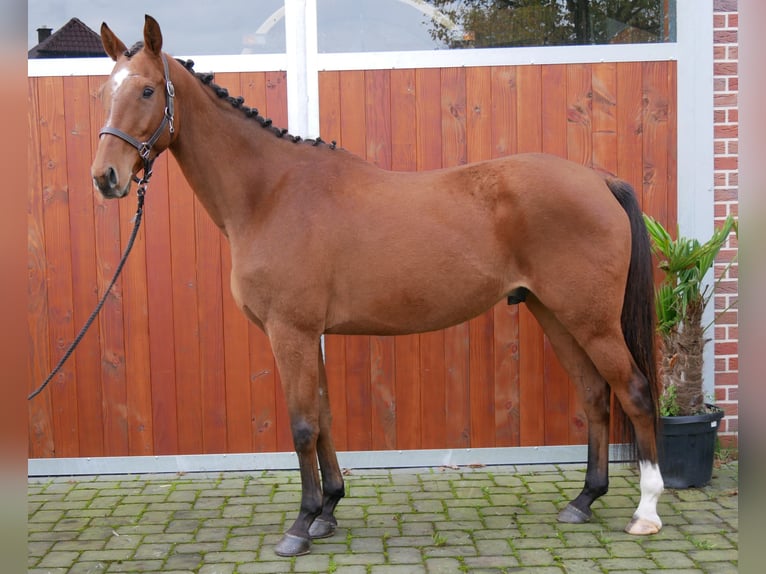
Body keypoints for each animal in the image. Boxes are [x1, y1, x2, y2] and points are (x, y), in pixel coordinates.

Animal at [91, 16, 664, 560]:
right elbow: (324, 417)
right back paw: (583, 500)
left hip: (590, 320)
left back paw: (646, 512)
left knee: (634, 391)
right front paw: (327, 511)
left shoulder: (291, 332)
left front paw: (299, 526)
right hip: (555, 314)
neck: (270, 194)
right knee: (595, 394)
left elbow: (302, 425)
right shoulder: (310, 335)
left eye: (147, 90)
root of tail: (599, 181)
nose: (106, 177)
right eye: (105, 91)